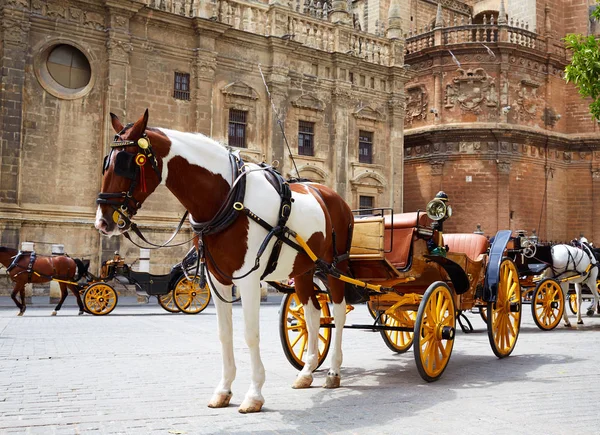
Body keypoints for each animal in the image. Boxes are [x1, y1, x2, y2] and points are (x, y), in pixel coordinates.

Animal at [95, 110, 354, 414]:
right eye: (105, 163)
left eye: (127, 163)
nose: (102, 222)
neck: (230, 198)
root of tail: (333, 196)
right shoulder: (216, 277)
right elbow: (224, 333)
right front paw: (224, 389)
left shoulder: (249, 279)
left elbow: (250, 334)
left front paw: (254, 394)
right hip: (303, 269)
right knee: (313, 316)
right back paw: (307, 371)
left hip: (335, 266)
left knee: (338, 312)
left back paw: (334, 371)